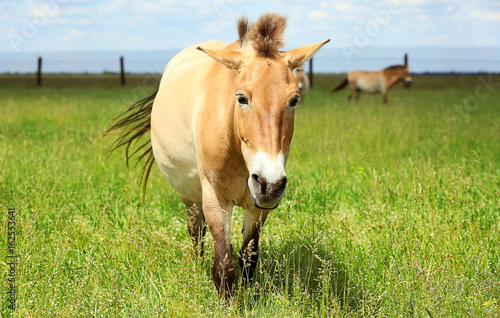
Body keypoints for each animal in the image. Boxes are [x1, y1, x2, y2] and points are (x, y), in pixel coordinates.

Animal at [107, 13, 330, 300]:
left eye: (294, 100)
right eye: (242, 98)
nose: (269, 183)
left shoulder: (257, 207)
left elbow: (249, 256)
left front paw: (249, 297)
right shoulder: (214, 199)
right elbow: (223, 265)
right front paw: (228, 303)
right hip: (190, 195)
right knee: (195, 231)